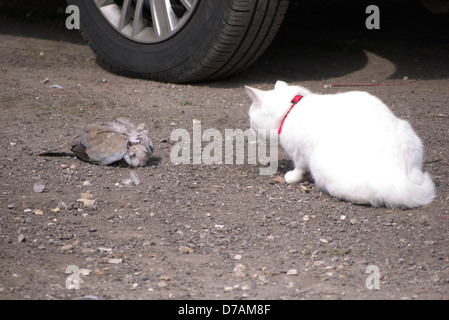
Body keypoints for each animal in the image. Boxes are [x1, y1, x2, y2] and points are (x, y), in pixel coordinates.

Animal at [245, 81, 434, 209]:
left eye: (251, 120)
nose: (250, 129)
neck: (291, 109)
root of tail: (399, 178)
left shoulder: (299, 152)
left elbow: (299, 168)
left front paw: (291, 177)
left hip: (321, 163)